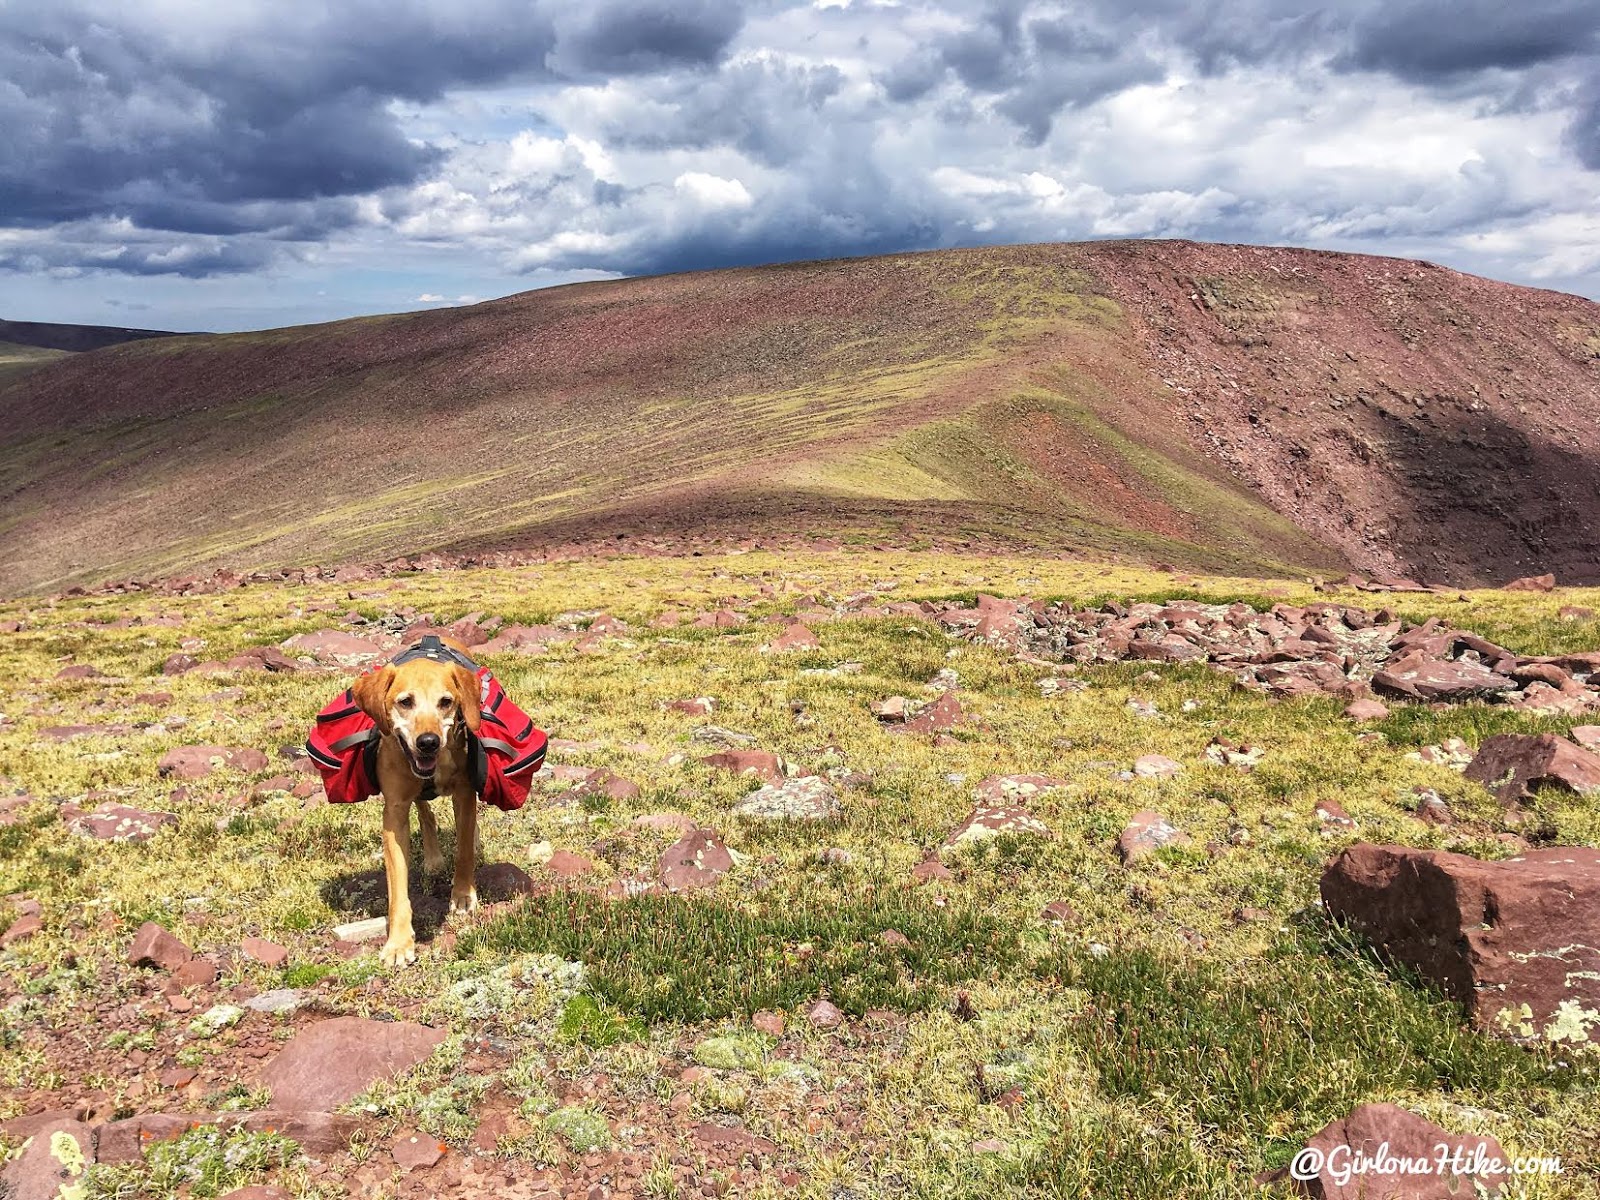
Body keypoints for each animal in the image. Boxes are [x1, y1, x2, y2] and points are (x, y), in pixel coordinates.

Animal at [345, 640, 480, 966]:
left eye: (446, 702)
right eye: (405, 702)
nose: (428, 742)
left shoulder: (465, 794)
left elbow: (464, 850)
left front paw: (463, 894)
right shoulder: (394, 812)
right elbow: (397, 889)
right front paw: (398, 942)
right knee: (425, 813)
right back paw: (432, 857)